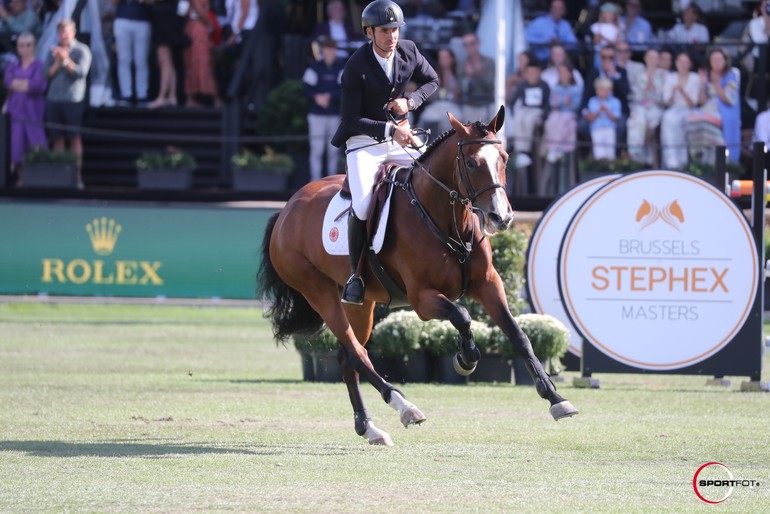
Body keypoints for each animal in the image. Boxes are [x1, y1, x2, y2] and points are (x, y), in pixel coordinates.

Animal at [258, 106, 578, 446]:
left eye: (503, 158)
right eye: (471, 163)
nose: (500, 218)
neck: (445, 217)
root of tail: (287, 209)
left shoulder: (489, 284)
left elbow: (519, 335)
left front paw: (556, 399)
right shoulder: (423, 299)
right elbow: (462, 315)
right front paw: (466, 358)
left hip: (360, 303)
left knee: (348, 357)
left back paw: (369, 427)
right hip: (319, 292)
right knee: (357, 354)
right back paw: (404, 406)